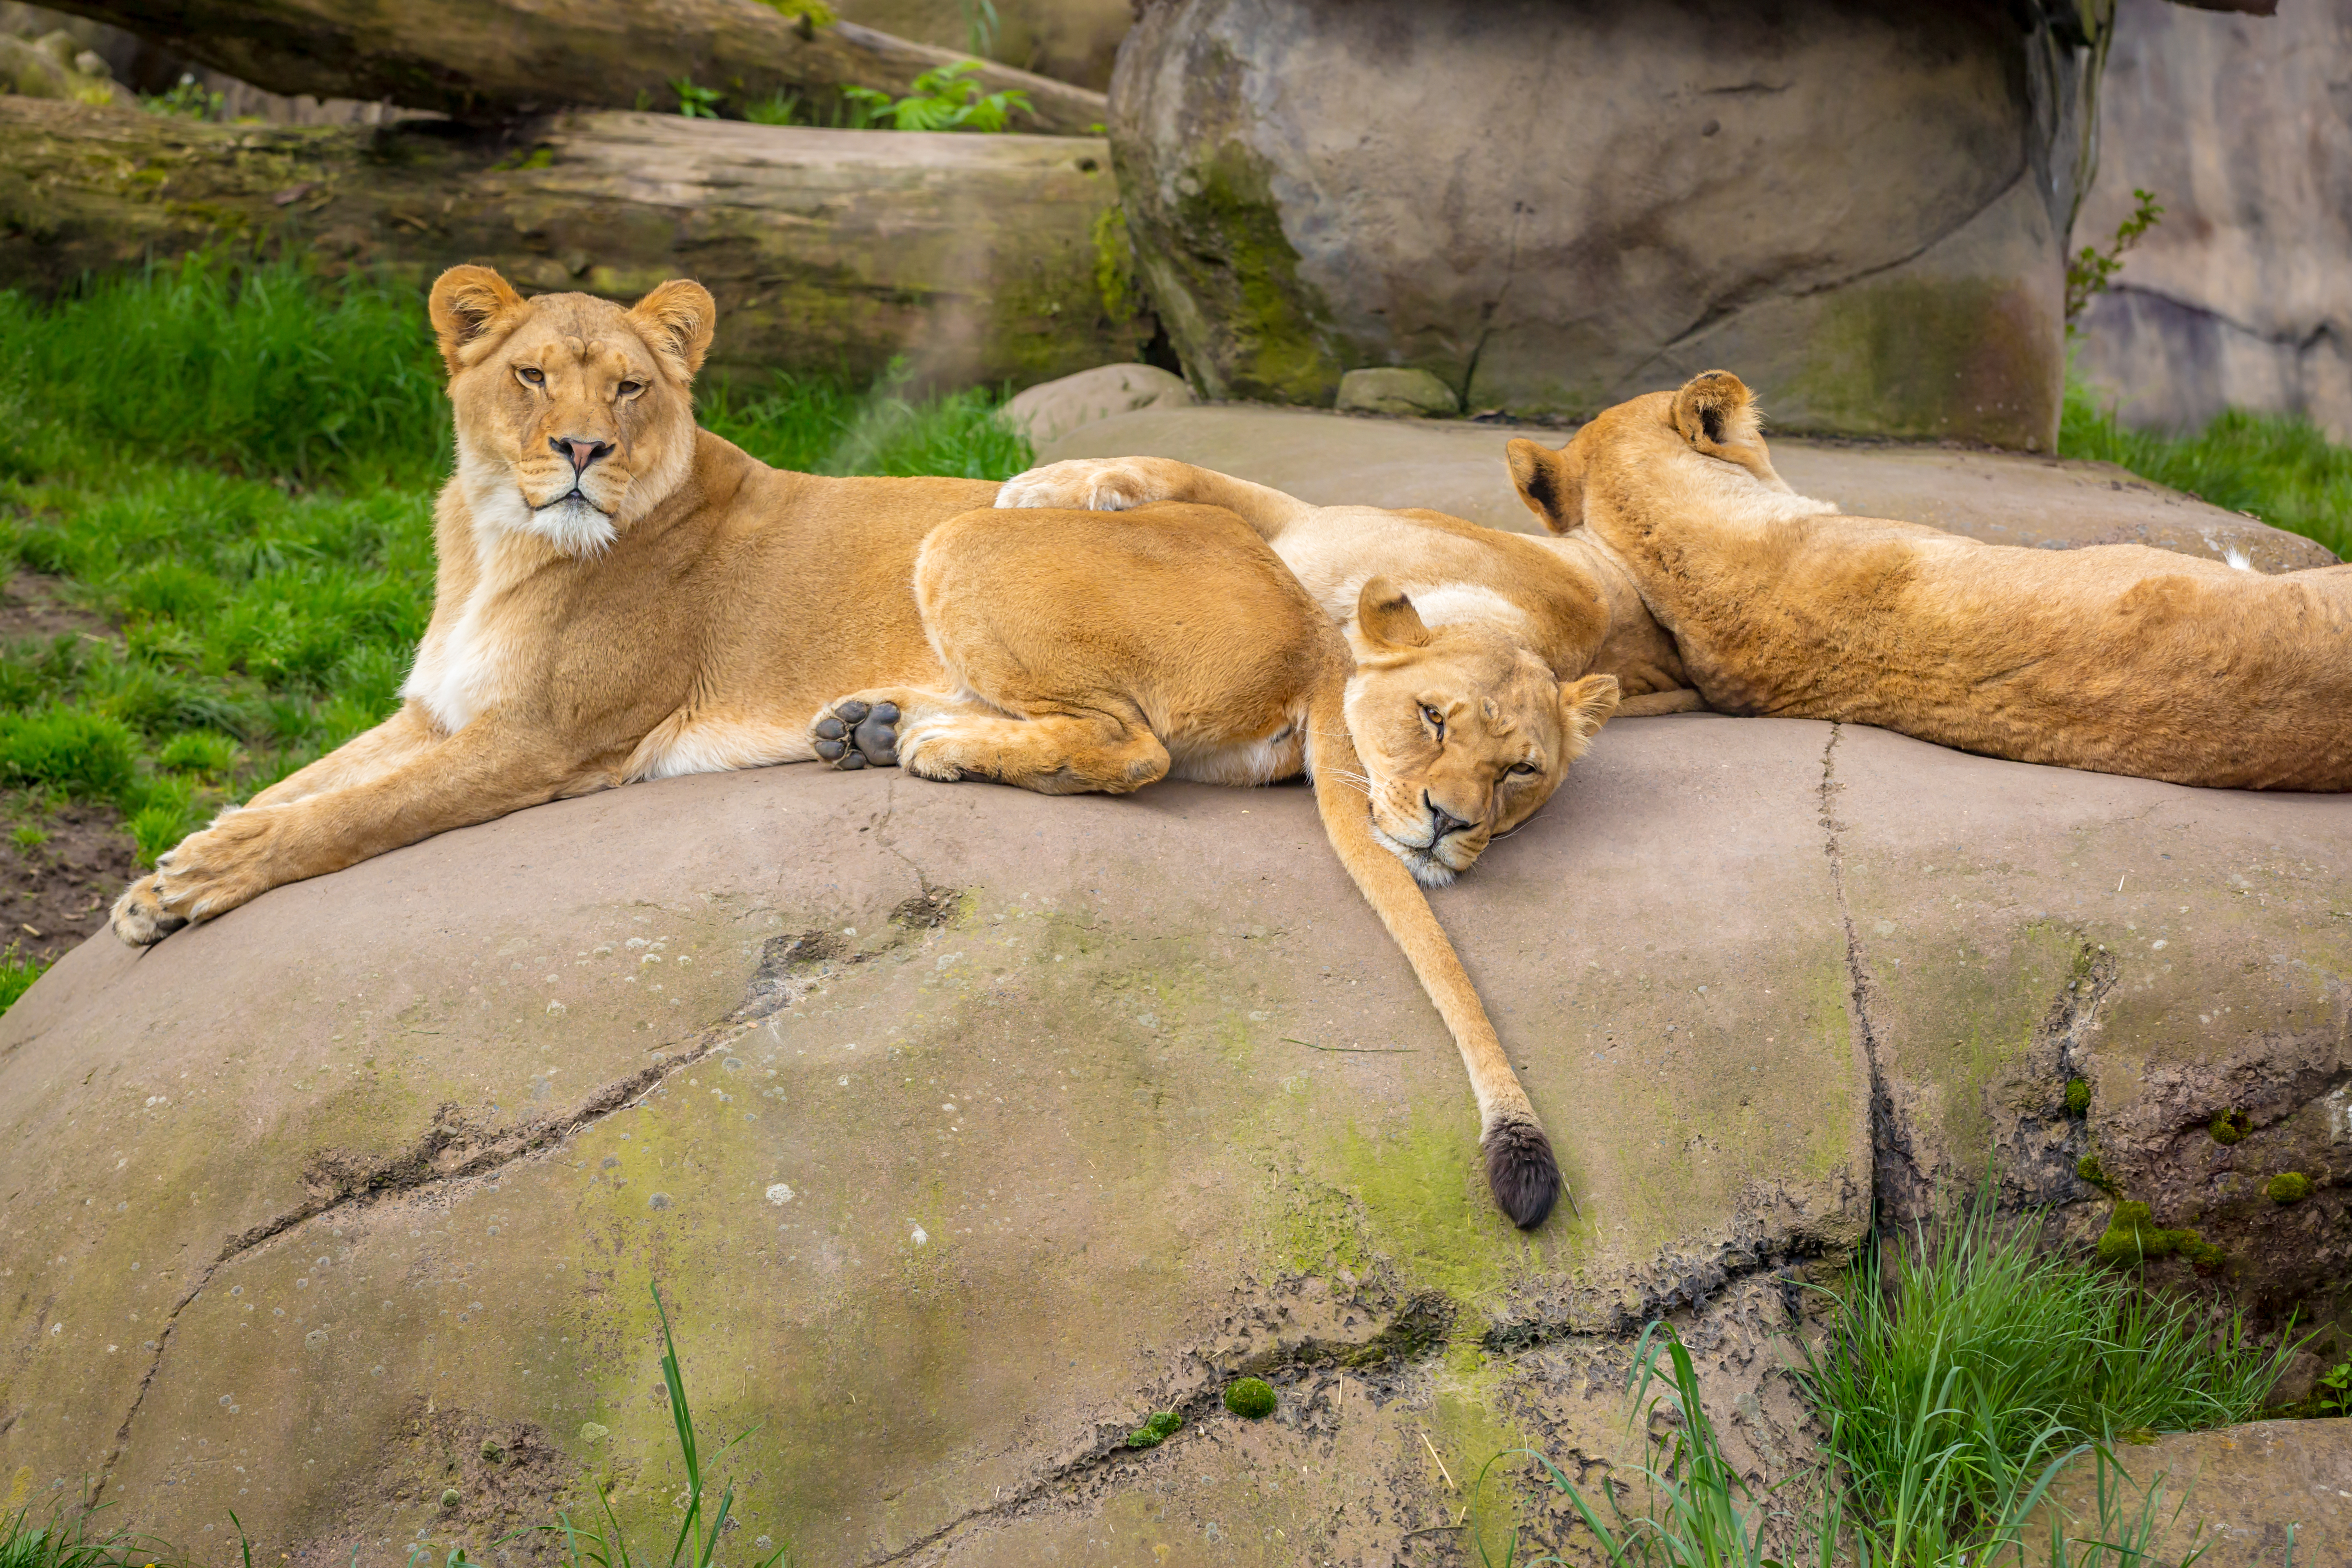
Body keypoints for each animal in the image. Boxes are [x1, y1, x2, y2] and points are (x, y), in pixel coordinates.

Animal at [108, 264, 1602, 1227]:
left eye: (632, 390)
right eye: (530, 375)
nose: (582, 450)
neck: (496, 538)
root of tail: (1305, 621)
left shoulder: (541, 741)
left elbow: (341, 818)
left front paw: (195, 884)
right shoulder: (434, 712)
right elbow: (297, 783)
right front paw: (152, 883)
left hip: (968, 541)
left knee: (1129, 754)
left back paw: (925, 742)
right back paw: (876, 726)